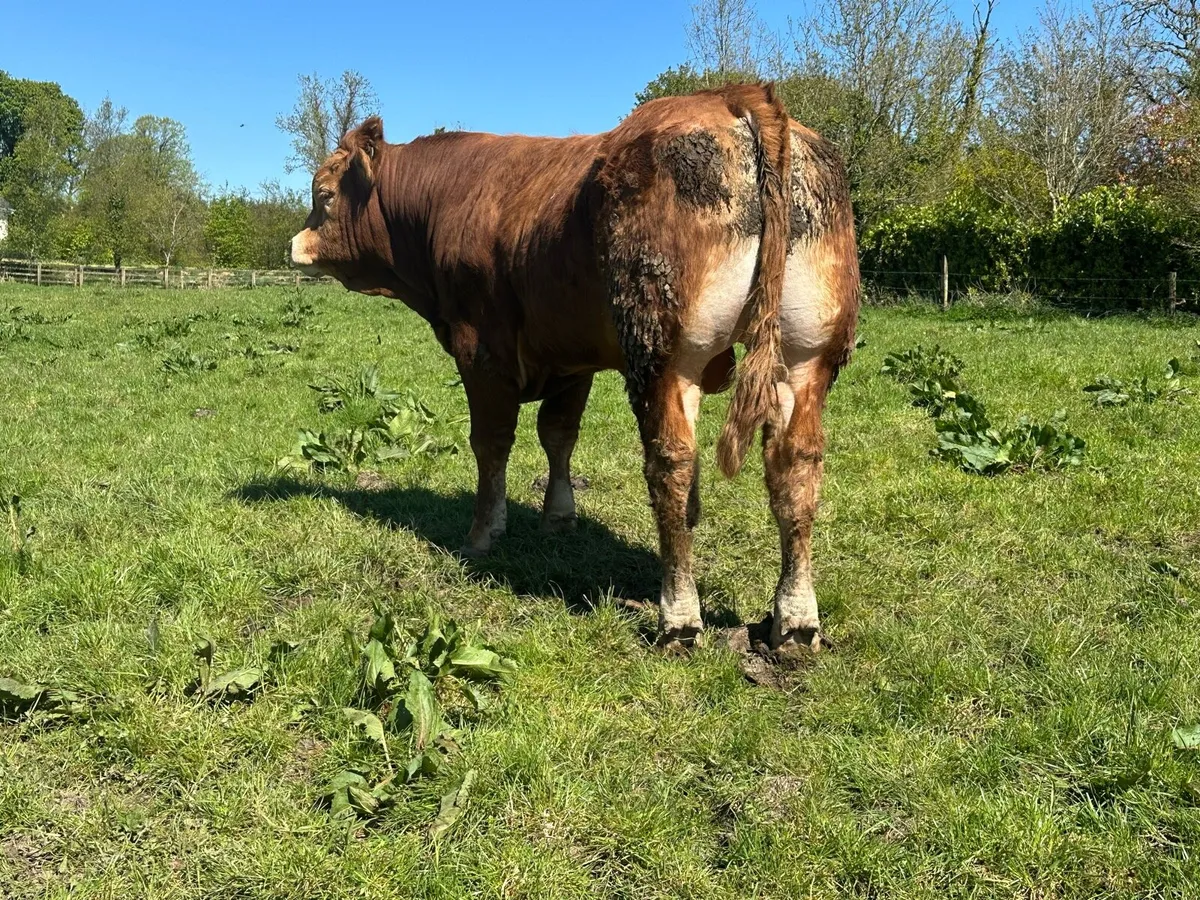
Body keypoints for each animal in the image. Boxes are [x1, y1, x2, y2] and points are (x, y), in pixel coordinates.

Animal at [289, 84, 859, 652]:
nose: (295, 244)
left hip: (665, 356)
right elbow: (559, 435)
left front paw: (483, 533)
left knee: (672, 464)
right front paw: (559, 517)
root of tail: (732, 97)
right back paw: (795, 619)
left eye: (324, 195)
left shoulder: (481, 352)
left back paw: (678, 616)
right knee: (795, 464)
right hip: (805, 358)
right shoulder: (570, 358)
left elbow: (491, 444)